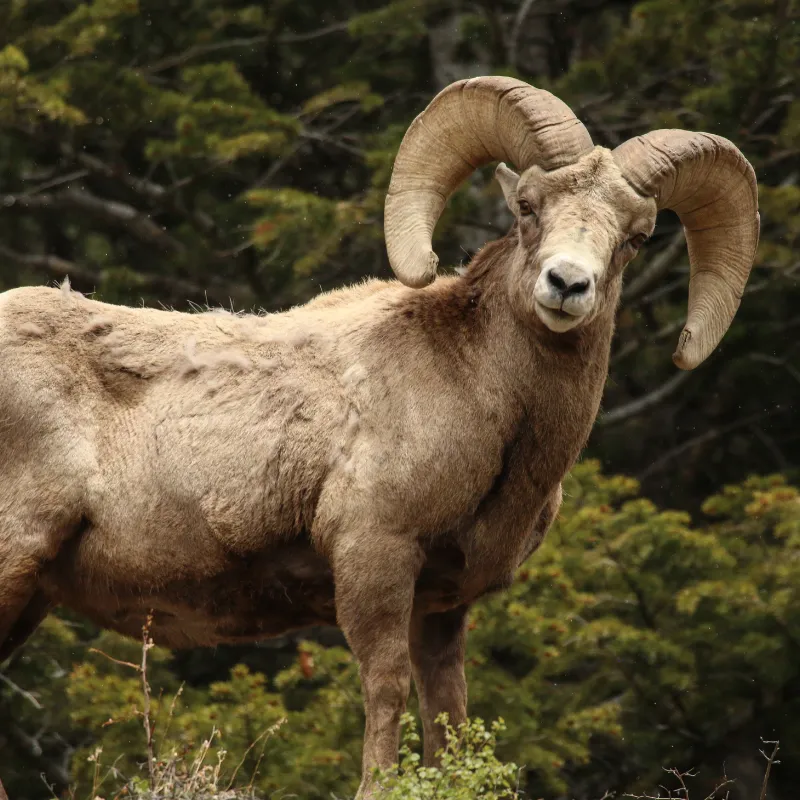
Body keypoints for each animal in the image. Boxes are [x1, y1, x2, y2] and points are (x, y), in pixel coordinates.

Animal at [0, 78, 760, 796]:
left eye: (635, 235)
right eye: (527, 207)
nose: (567, 284)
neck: (476, 395)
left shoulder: (443, 606)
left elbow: (447, 714)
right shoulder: (376, 556)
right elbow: (387, 688)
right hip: (15, 560)